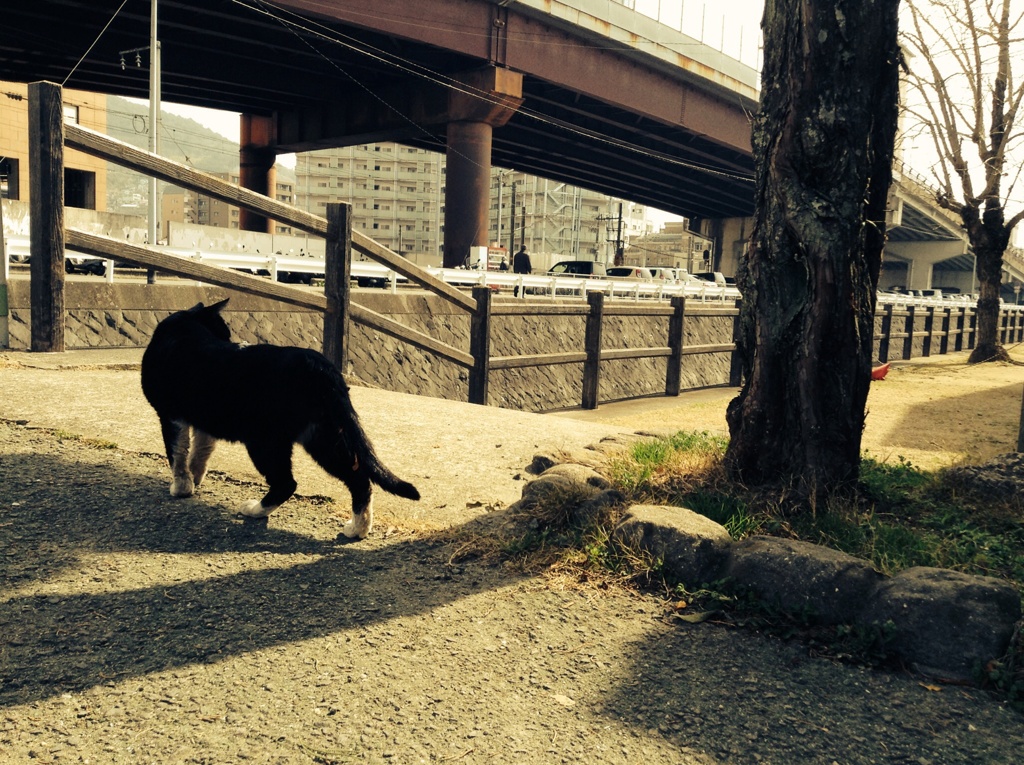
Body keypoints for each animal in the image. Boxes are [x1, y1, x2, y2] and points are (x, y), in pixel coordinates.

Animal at [141, 299, 419, 536]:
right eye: (224, 334)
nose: (231, 340)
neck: (185, 328)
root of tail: (320, 366)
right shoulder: (203, 420)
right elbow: (201, 450)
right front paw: (196, 478)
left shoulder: (169, 413)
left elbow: (177, 452)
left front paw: (181, 487)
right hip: (325, 435)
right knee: (359, 479)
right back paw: (357, 530)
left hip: (264, 440)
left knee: (287, 483)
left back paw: (254, 510)